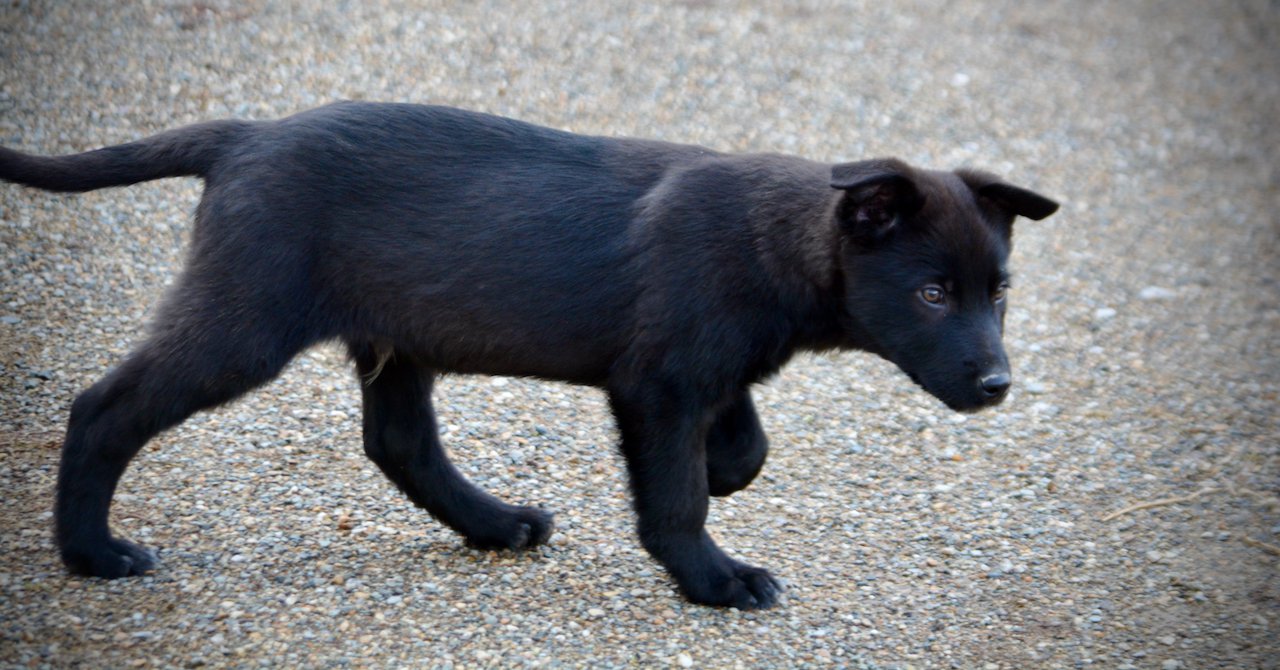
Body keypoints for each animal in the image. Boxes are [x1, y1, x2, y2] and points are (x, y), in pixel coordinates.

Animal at [0, 102, 1059, 609]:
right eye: (931, 295)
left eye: (1000, 292)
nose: (998, 384)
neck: (782, 241)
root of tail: (245, 137)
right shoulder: (657, 387)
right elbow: (674, 499)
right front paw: (715, 579)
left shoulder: (697, 367)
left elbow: (745, 438)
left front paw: (731, 466)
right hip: (244, 319)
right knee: (105, 408)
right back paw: (92, 552)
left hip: (401, 331)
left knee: (399, 444)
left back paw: (497, 524)